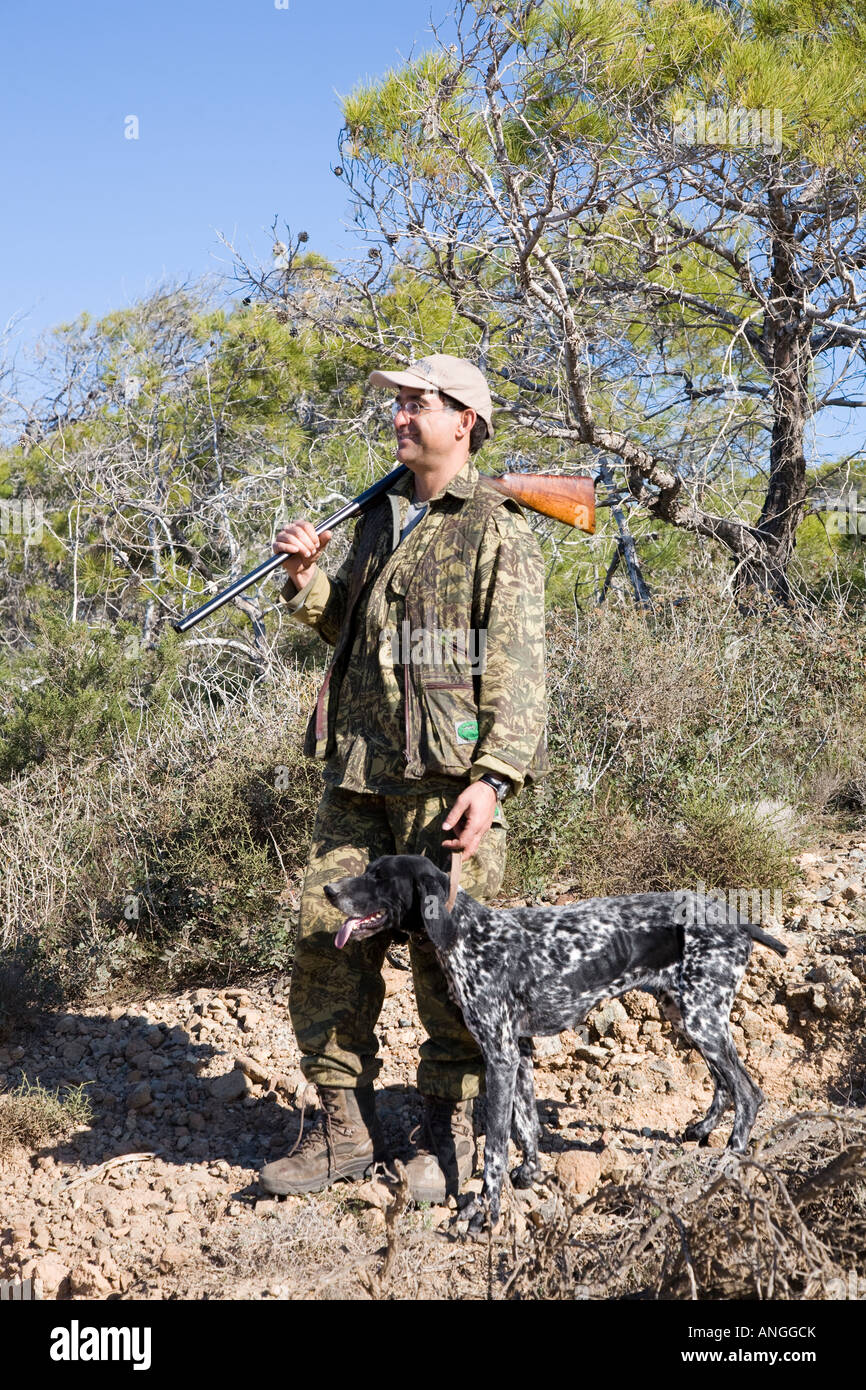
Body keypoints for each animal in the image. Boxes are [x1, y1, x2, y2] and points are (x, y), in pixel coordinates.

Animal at [323, 850, 783, 1234]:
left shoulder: (500, 1055)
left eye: (380, 877)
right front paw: (530, 1173)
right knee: (723, 1082)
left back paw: (731, 1158)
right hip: (687, 1017)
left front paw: (487, 1213)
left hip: (702, 1019)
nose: (329, 890)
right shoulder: (520, 1053)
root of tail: (734, 916)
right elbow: (526, 1124)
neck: (469, 936)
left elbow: (495, 1149)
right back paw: (704, 1128)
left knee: (748, 1092)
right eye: (367, 870)